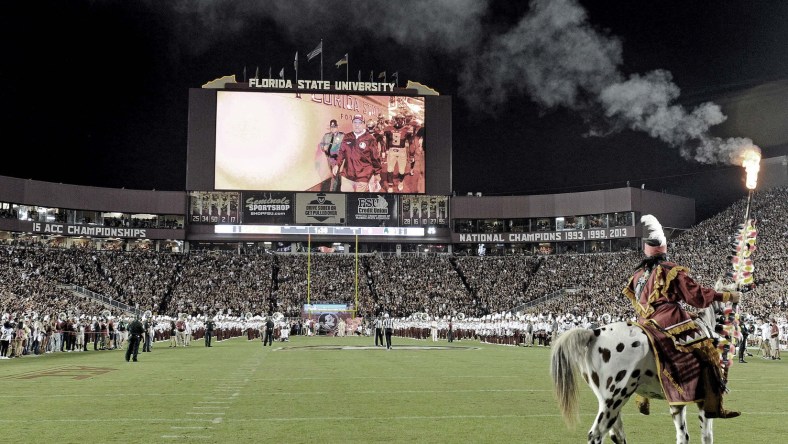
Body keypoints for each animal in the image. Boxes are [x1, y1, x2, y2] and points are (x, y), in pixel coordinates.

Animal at [548, 306, 728, 444]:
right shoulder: (706, 398)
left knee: (617, 434)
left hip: (608, 402)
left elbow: (683, 436)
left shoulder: (678, 401)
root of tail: (593, 334)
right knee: (596, 435)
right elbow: (706, 436)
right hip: (614, 399)